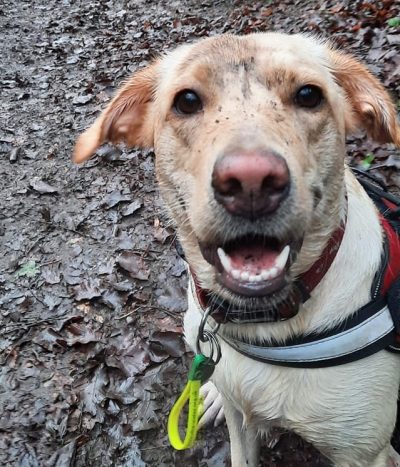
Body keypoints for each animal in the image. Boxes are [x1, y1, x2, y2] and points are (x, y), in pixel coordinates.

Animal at [74, 33, 400, 467]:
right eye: (187, 101)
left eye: (309, 95)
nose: (251, 181)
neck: (264, 321)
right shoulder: (239, 417)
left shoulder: (364, 451)